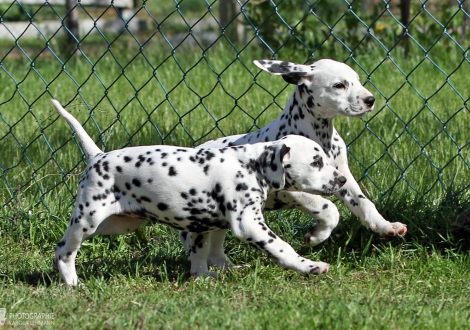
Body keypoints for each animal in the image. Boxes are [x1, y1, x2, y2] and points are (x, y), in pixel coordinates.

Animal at [51, 97, 346, 284]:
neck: (252, 164)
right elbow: (282, 248)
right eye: (316, 162)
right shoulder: (249, 224)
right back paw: (72, 281)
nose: (342, 180)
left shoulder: (202, 226)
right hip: (88, 219)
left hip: (119, 224)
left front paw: (202, 277)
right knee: (65, 248)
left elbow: (199, 256)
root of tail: (98, 156)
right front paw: (310, 266)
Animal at [180, 59, 408, 270]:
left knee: (215, 243)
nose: (370, 100)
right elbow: (328, 208)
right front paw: (317, 236)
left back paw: (225, 267)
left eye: (358, 81)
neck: (321, 136)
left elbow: (363, 203)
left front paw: (385, 226)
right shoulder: (290, 190)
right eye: (339, 85)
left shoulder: (341, 176)